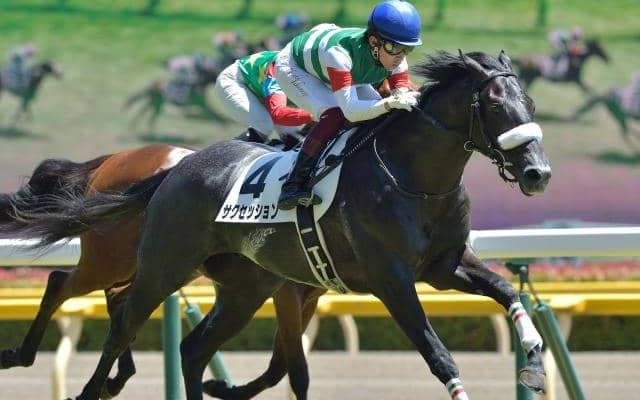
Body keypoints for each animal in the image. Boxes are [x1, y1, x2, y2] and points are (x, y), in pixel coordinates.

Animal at [1, 50, 552, 400]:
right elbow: (434, 353)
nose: (537, 173)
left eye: (531, 104)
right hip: (155, 262)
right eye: (496, 104)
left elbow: (507, 291)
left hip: (241, 287)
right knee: (101, 308)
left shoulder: (441, 265)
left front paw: (532, 361)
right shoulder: (387, 279)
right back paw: (75, 380)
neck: (412, 179)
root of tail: (174, 170)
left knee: (190, 346)